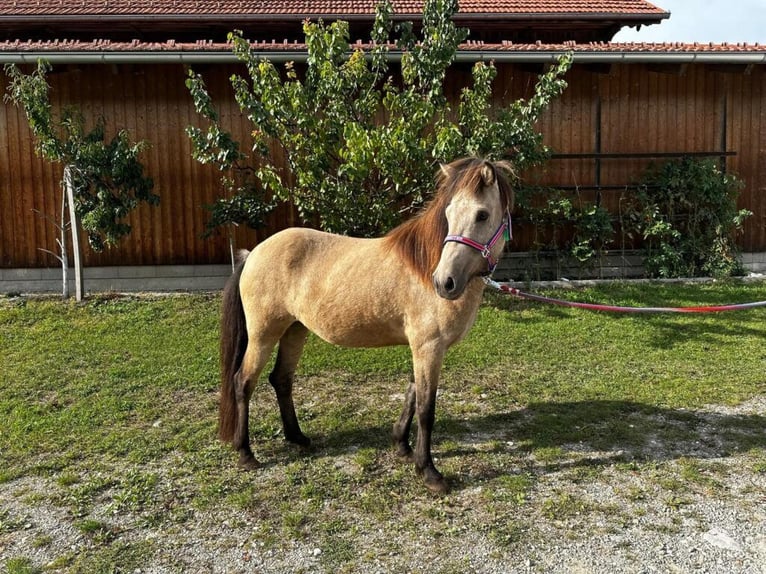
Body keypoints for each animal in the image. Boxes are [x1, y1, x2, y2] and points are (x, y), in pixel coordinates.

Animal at [218, 156, 514, 493]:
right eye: (449, 214)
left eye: (482, 214)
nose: (445, 282)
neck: (423, 266)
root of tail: (254, 252)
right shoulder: (429, 347)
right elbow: (426, 409)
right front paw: (428, 472)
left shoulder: (423, 349)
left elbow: (412, 393)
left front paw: (402, 447)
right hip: (263, 334)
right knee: (243, 382)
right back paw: (246, 453)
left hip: (295, 330)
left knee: (281, 379)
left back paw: (298, 438)